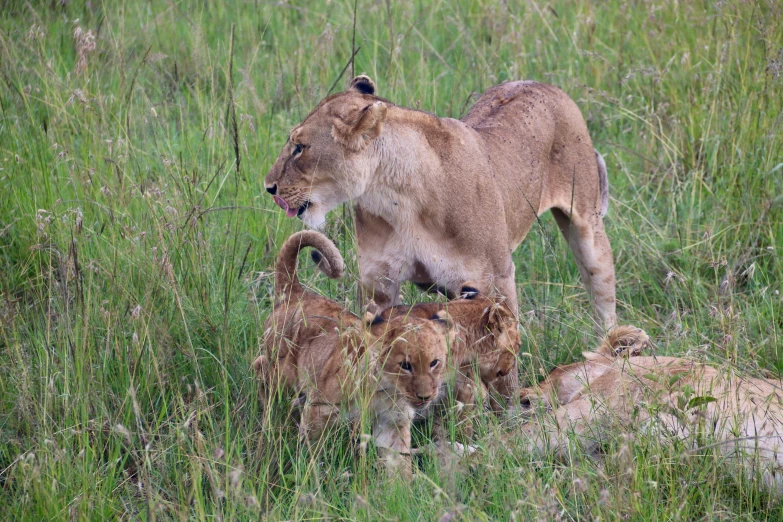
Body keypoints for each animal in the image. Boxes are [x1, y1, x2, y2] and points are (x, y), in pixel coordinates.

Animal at [256, 230, 454, 470]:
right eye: (405, 366)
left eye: (434, 363)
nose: (425, 397)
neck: (387, 390)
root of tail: (297, 293)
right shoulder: (320, 409)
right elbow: (311, 448)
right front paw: (310, 470)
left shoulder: (392, 423)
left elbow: (398, 463)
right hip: (282, 373)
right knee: (260, 367)